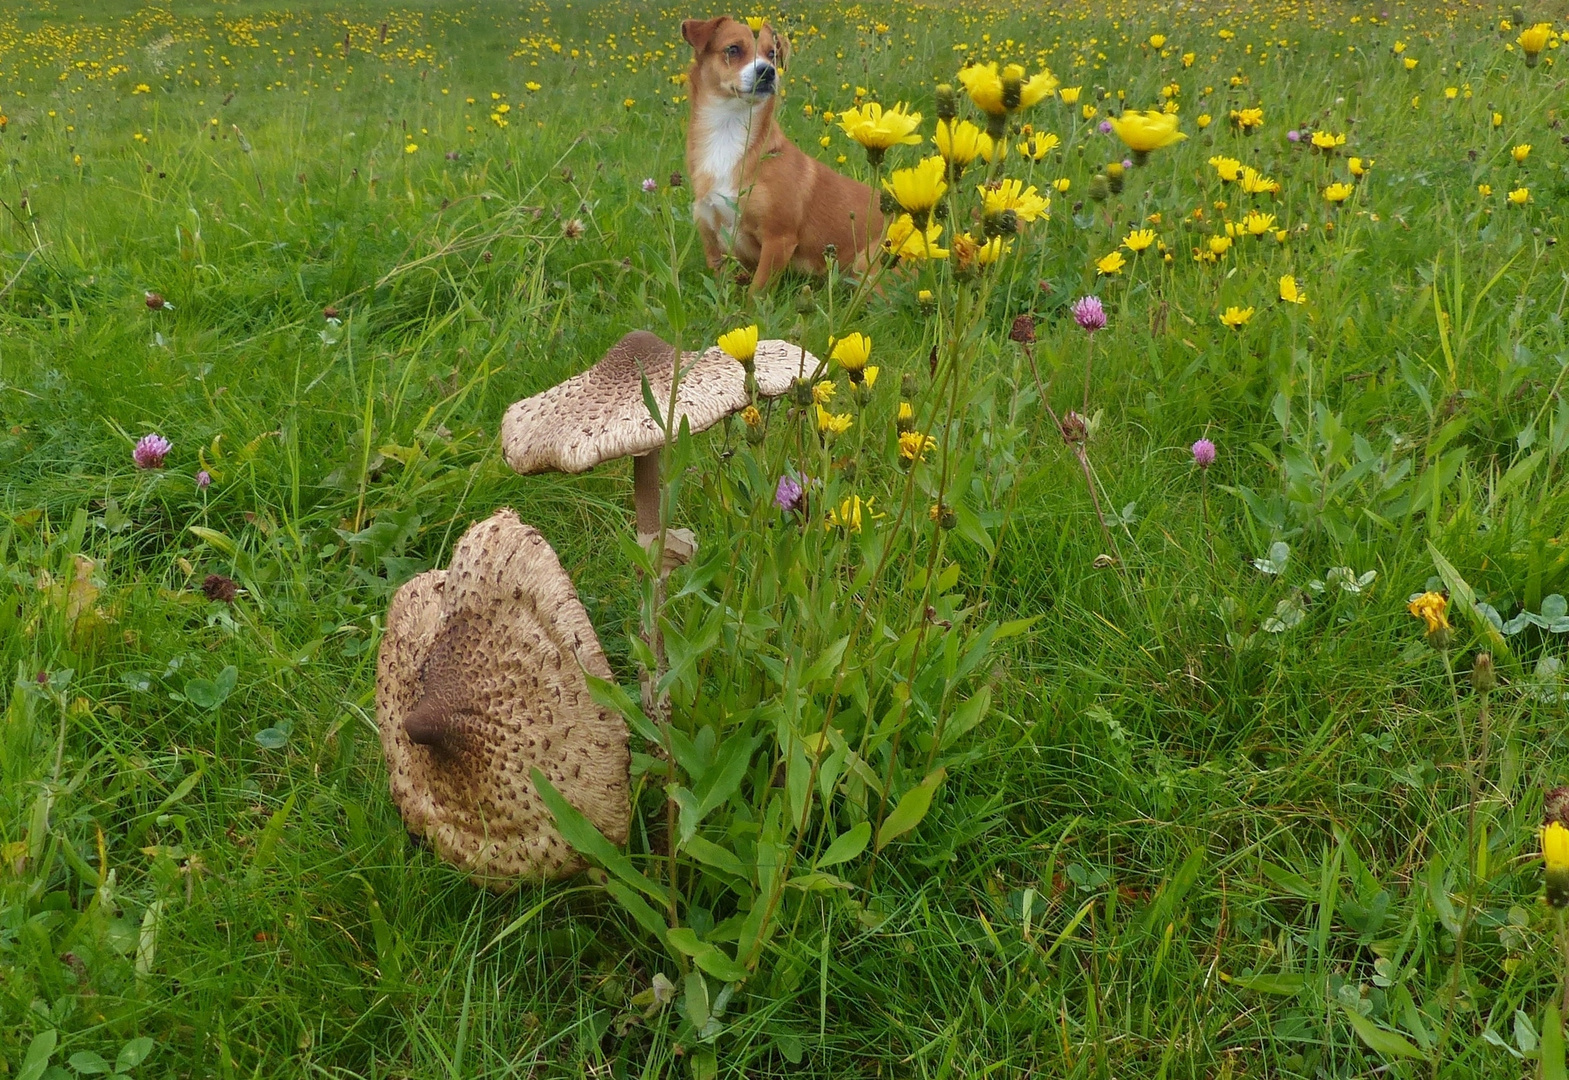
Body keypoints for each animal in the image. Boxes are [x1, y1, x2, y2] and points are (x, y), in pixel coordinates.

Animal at [684, 17, 891, 295]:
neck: (727, 132)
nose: (768, 72)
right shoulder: (711, 237)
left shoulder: (778, 238)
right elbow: (720, 288)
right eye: (733, 49)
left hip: (868, 269)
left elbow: (757, 292)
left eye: (772, 54)